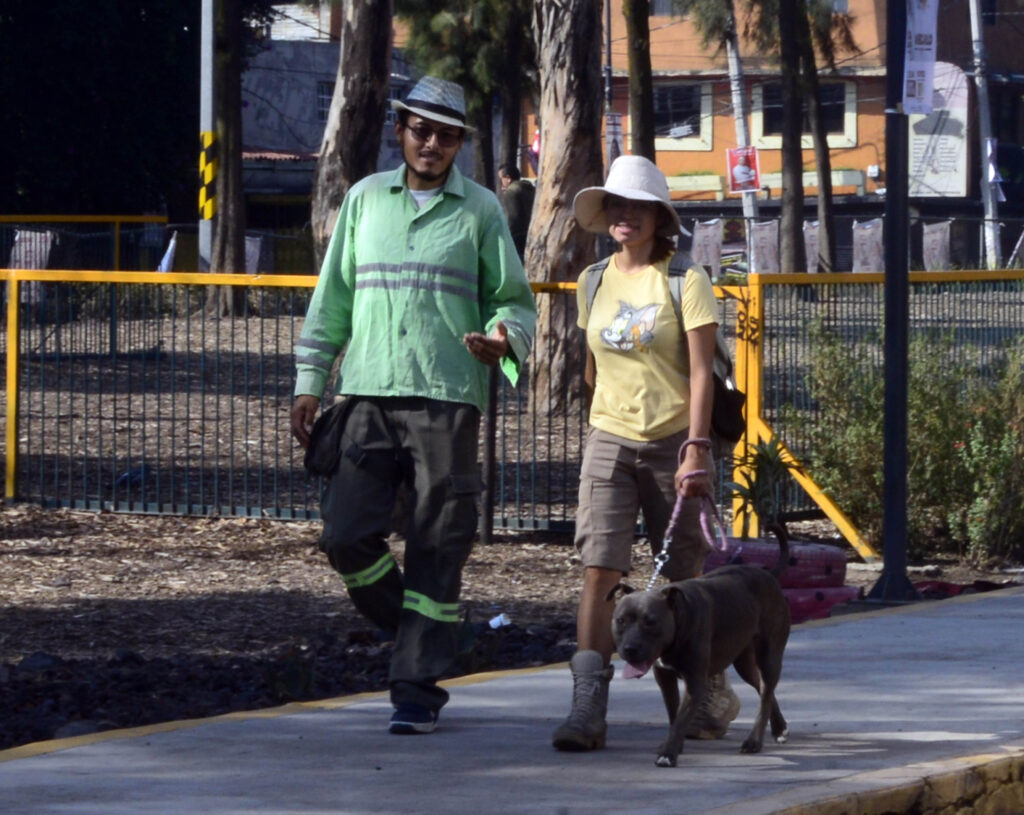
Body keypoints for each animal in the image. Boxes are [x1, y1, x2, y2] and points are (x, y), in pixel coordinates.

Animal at [606, 524, 790, 765]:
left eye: (651, 622)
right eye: (620, 621)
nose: (630, 649)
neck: (678, 618)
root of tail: (768, 574)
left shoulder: (695, 681)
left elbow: (681, 717)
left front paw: (668, 754)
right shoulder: (664, 677)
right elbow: (674, 714)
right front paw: (675, 746)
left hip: (769, 656)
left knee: (766, 694)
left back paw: (754, 741)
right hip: (744, 661)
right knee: (762, 687)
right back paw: (778, 728)